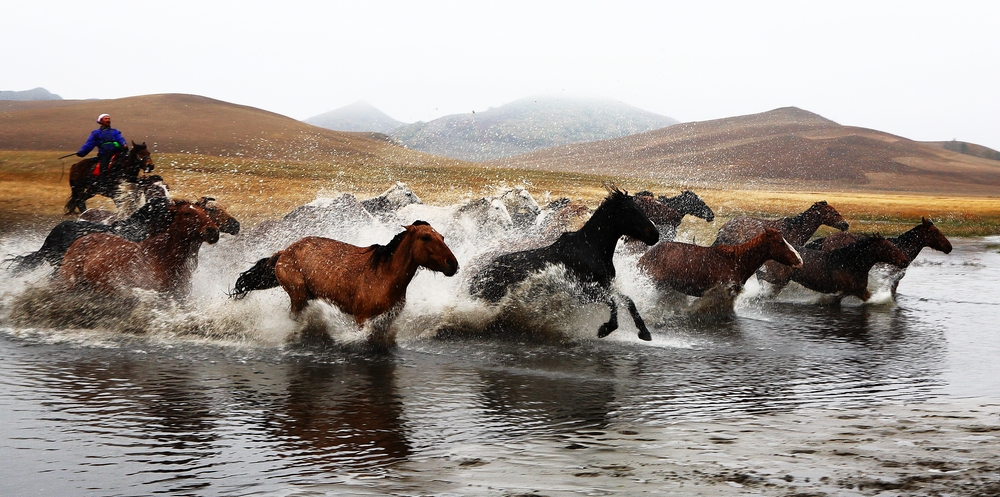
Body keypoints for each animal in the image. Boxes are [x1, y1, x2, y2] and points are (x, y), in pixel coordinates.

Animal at [57, 202, 220, 296]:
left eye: (206, 211)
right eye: (187, 213)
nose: (213, 231)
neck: (161, 258)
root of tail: (79, 240)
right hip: (70, 283)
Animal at [230, 221, 459, 345]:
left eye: (442, 236)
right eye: (426, 237)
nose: (453, 264)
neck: (383, 276)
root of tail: (283, 253)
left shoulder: (386, 322)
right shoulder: (362, 319)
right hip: (298, 297)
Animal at [468, 186, 659, 341]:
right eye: (630, 211)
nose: (655, 235)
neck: (591, 249)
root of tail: (480, 275)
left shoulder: (604, 286)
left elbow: (627, 301)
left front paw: (644, 332)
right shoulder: (585, 292)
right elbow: (613, 303)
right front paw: (605, 329)